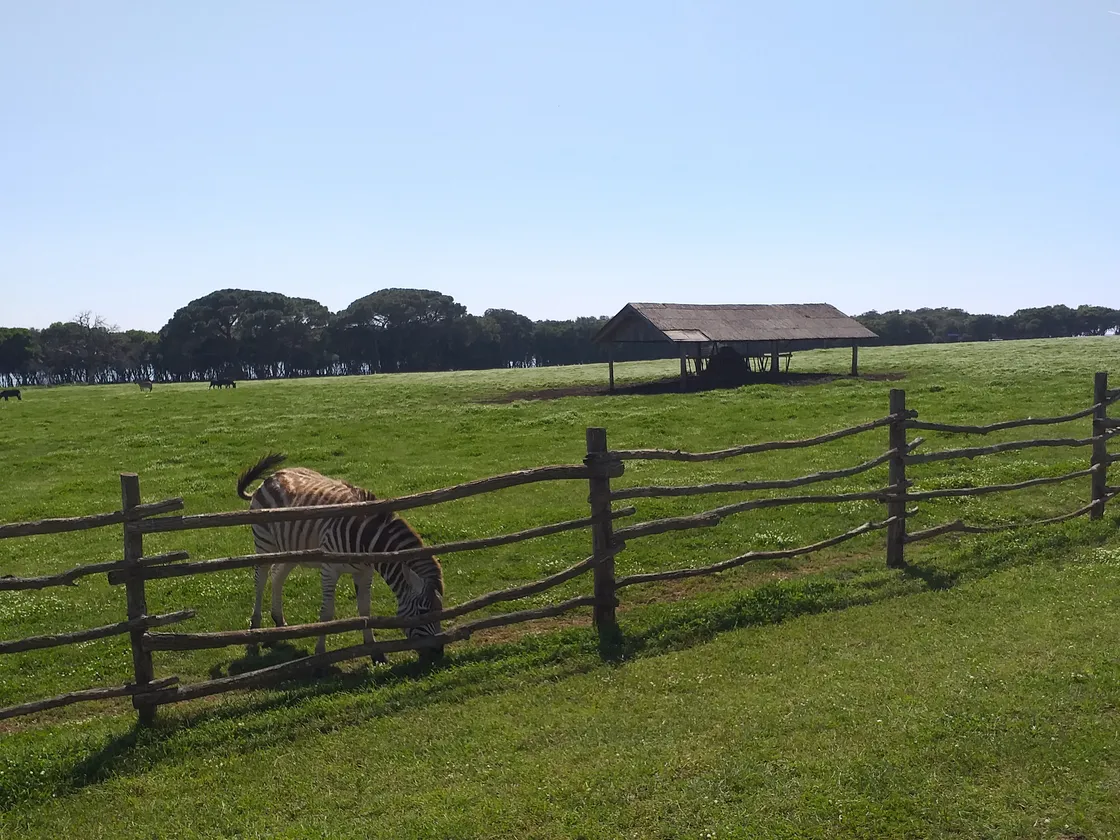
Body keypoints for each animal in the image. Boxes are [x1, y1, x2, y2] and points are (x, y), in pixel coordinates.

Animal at [236, 453, 445, 665]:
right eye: (423, 612)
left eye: (441, 610)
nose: (439, 653)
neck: (365, 539)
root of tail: (270, 479)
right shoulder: (330, 569)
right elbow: (327, 612)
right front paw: (320, 654)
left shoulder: (365, 571)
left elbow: (365, 610)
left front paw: (376, 652)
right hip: (264, 542)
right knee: (260, 579)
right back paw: (254, 629)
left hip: (291, 549)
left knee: (277, 575)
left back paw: (279, 620)